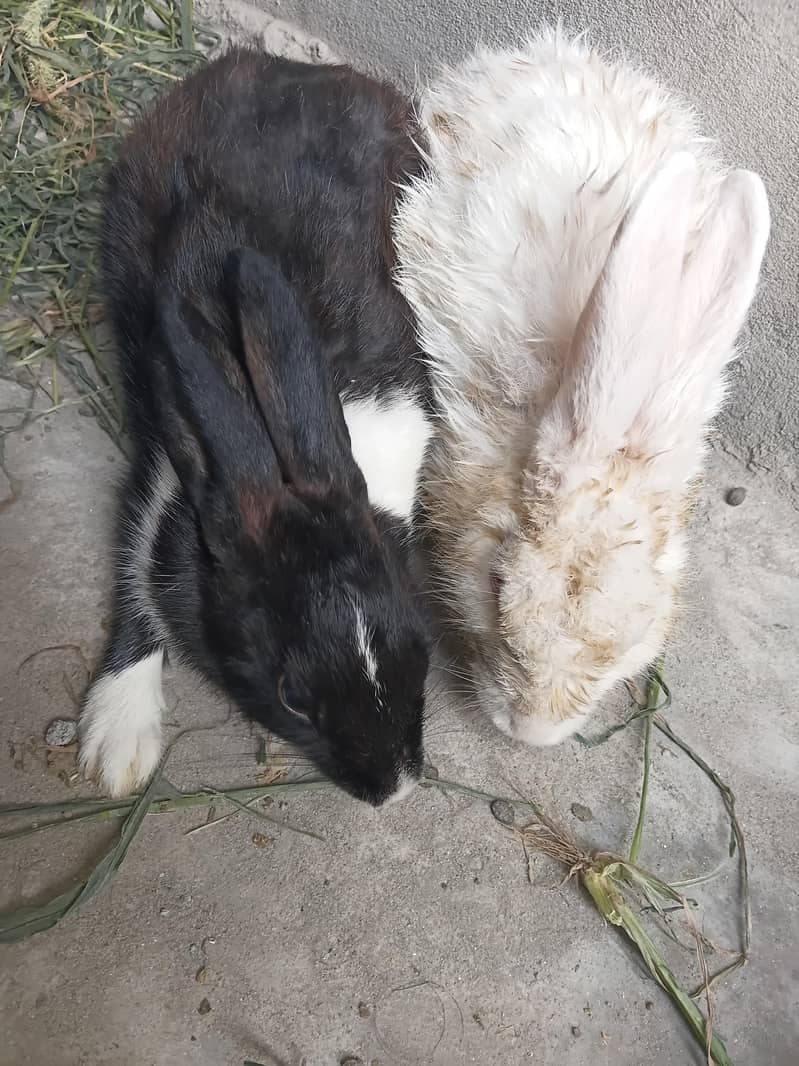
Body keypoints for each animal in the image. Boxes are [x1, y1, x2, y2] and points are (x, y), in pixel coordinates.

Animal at [79, 48, 434, 804]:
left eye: (421, 647)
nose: (392, 790)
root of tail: (291, 68)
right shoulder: (161, 476)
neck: (275, 448)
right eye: (292, 696)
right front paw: (118, 743)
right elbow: (135, 575)